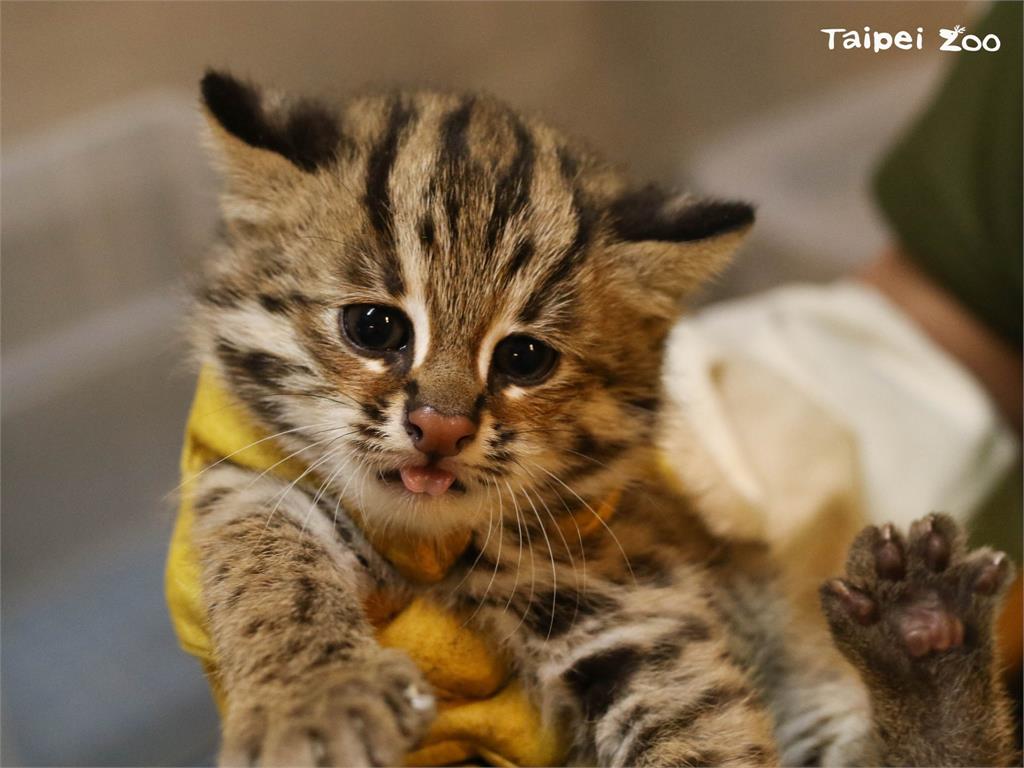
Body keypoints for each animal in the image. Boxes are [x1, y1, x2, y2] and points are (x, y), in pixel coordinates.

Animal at [186, 72, 1015, 768]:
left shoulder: (634, 604)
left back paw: (925, 641)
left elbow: (700, 736)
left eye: (523, 359)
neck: (432, 548)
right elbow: (270, 568)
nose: (441, 428)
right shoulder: (249, 480)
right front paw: (313, 702)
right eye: (373, 327)